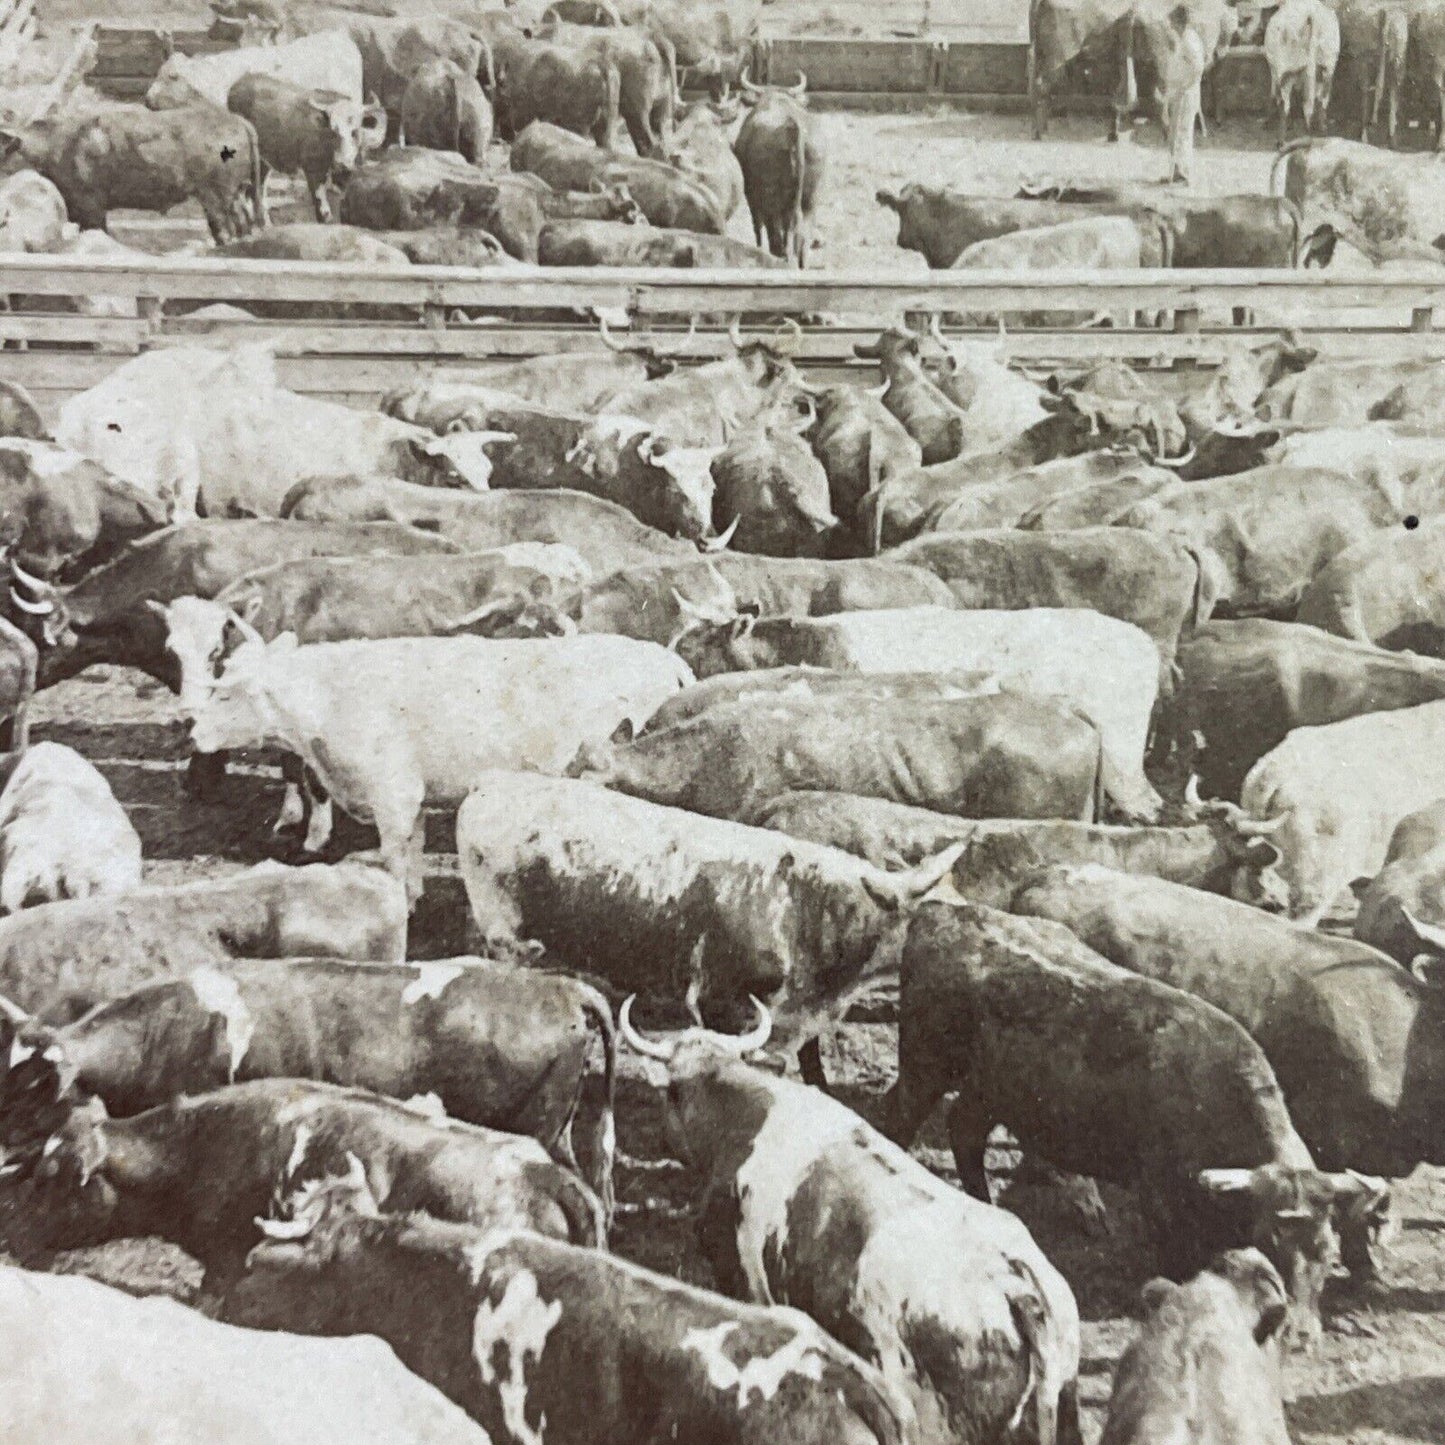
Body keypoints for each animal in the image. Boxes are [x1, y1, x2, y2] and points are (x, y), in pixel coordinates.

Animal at [177, 630, 696, 895]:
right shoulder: (415, 798)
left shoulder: (392, 794)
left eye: (225, 693)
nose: (192, 730)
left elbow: (394, 858)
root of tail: (664, 657)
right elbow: (414, 854)